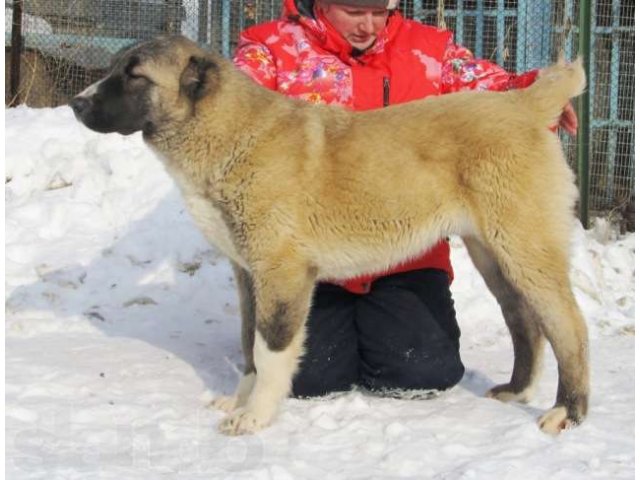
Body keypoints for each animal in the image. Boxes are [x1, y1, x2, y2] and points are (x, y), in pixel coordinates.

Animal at [70, 35, 592, 436]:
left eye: (135, 75)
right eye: (116, 67)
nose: (76, 102)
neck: (229, 133)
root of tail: (523, 103)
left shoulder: (280, 272)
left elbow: (269, 349)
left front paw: (255, 416)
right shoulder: (247, 273)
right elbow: (248, 344)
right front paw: (240, 400)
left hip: (524, 248)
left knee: (568, 325)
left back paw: (567, 411)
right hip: (492, 254)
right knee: (524, 321)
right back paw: (518, 389)